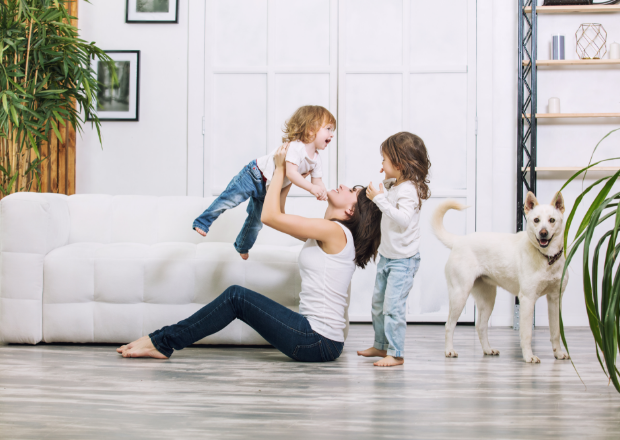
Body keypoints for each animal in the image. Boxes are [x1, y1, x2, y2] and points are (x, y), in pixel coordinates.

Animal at [432, 191, 572, 362]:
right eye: (536, 220)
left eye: (552, 220)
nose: (543, 233)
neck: (547, 258)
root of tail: (459, 240)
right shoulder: (527, 299)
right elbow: (526, 334)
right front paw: (529, 357)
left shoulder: (555, 299)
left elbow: (556, 331)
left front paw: (558, 353)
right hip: (460, 294)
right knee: (449, 325)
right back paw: (449, 350)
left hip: (487, 299)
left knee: (480, 326)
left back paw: (487, 349)